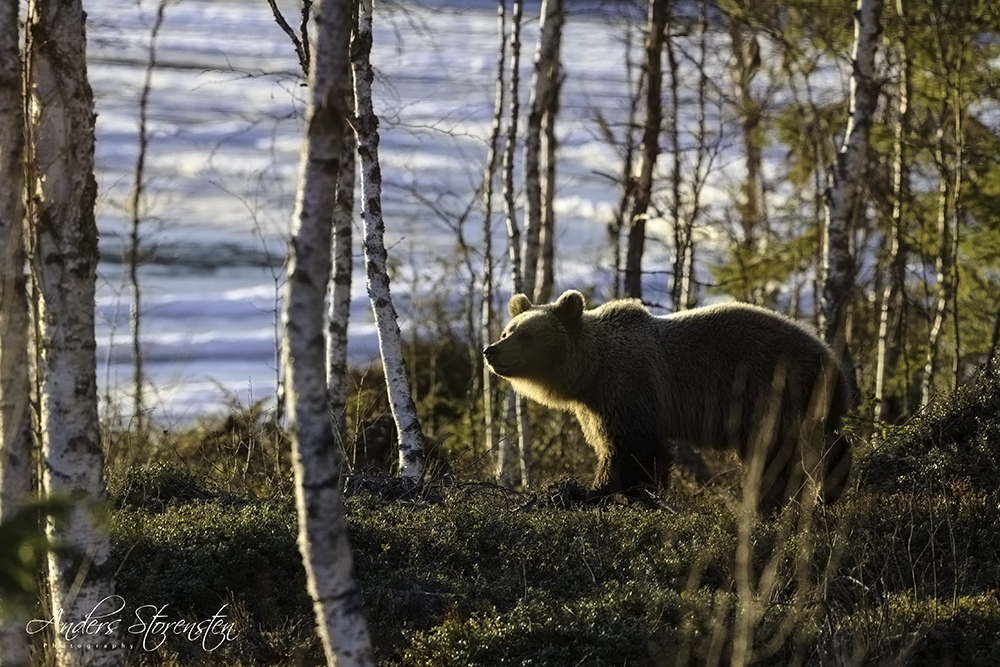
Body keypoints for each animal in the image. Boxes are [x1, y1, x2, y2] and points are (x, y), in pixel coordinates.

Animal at [482, 290, 852, 516]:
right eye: (506, 331)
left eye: (525, 335)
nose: (490, 350)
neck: (590, 372)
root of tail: (834, 362)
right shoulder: (598, 405)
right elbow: (637, 450)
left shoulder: (627, 387)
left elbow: (629, 449)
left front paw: (592, 491)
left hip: (775, 390)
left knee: (788, 449)